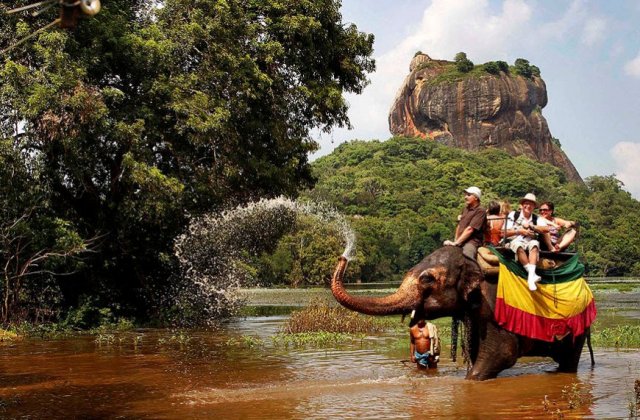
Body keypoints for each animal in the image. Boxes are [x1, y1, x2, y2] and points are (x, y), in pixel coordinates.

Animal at [332, 246, 592, 380]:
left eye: (427, 279)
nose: (343, 256)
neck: (471, 260)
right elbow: (476, 352)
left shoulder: (493, 307)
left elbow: (503, 353)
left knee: (569, 360)